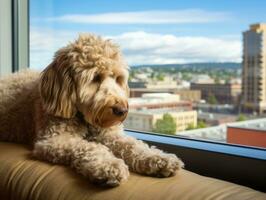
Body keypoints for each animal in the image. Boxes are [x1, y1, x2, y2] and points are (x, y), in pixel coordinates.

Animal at [0, 34, 183, 186]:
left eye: (118, 79)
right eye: (95, 78)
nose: (122, 110)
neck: (83, 117)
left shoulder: (109, 135)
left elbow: (132, 145)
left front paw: (158, 158)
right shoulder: (52, 140)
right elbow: (89, 147)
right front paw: (109, 166)